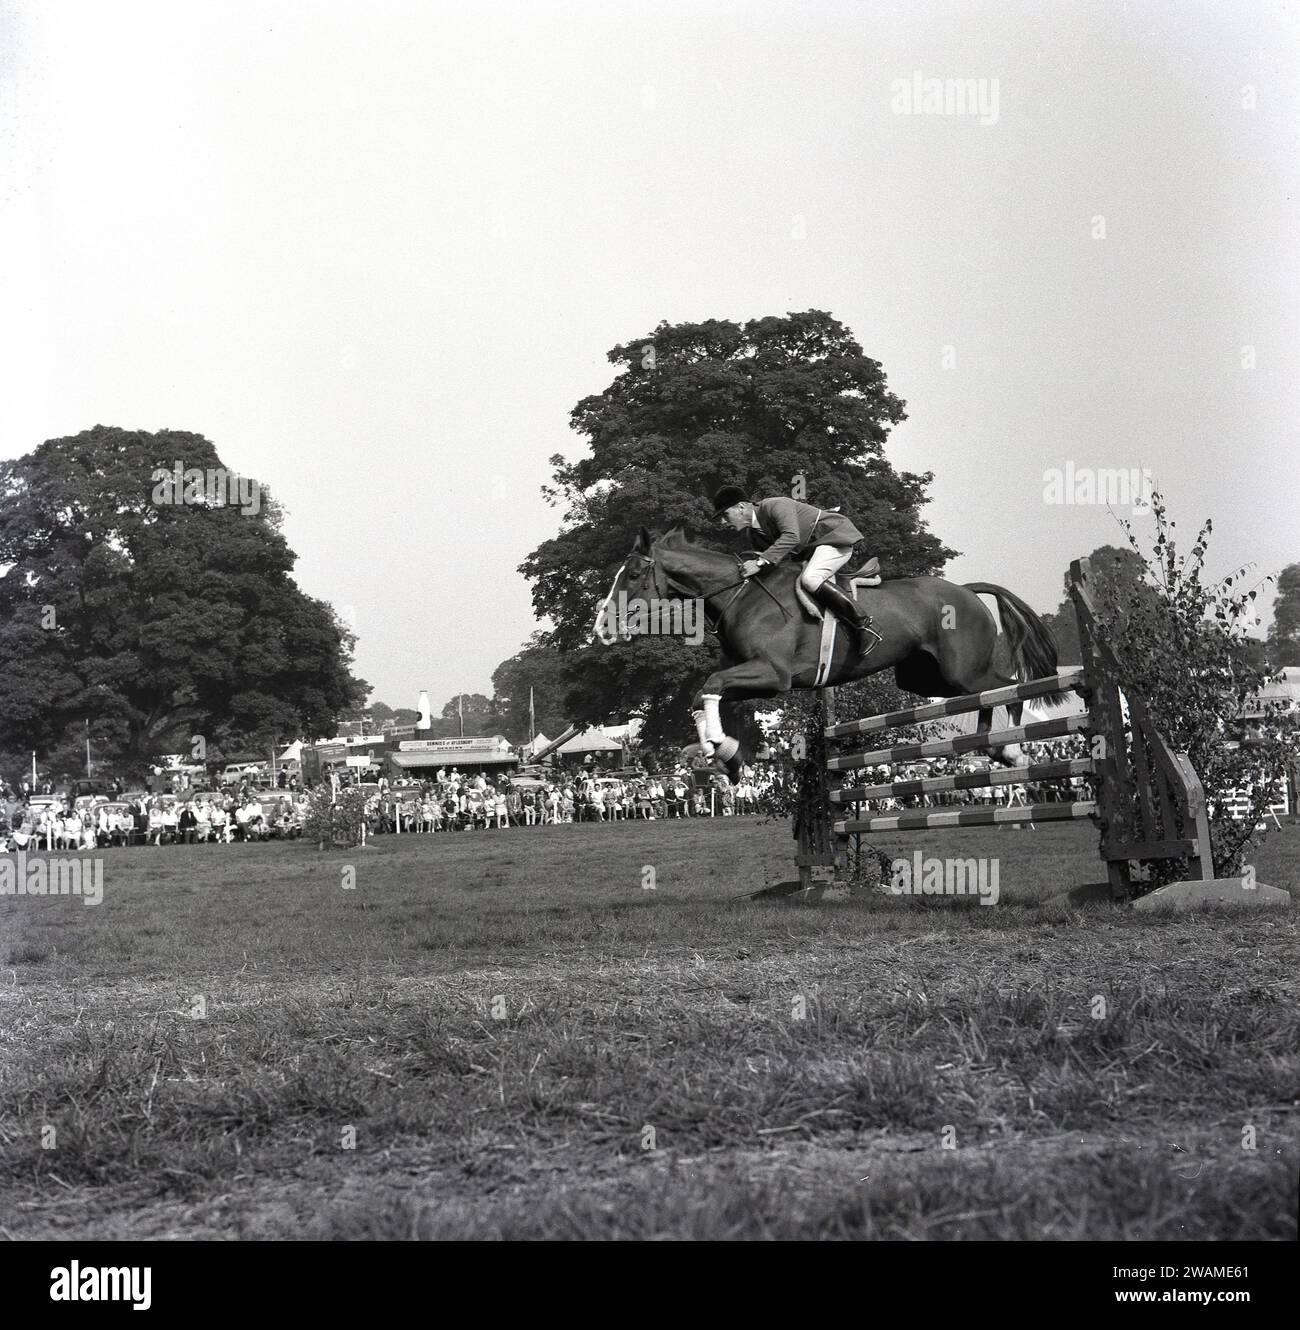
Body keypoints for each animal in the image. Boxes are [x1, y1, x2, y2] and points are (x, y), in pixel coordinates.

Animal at [593, 526, 1059, 776]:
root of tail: (966, 590)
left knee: (1006, 686)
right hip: (925, 677)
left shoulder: (774, 675)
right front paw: (722, 756)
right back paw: (990, 744)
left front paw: (722, 751)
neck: (741, 595)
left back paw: (1009, 747)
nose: (601, 629)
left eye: (632, 575)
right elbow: (704, 694)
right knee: (985, 694)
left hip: (962, 669)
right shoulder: (756, 678)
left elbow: (710, 684)